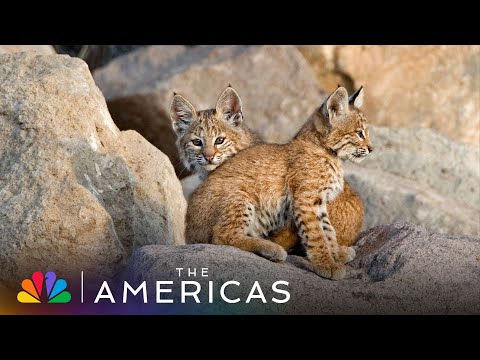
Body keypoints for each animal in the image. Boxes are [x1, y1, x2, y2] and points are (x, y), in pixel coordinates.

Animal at [184, 86, 372, 280]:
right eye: (359, 133)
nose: (371, 148)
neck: (328, 153)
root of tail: (188, 229)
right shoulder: (305, 199)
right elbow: (316, 234)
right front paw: (326, 265)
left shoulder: (320, 202)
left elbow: (328, 231)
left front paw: (336, 255)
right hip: (240, 196)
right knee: (221, 236)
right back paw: (271, 248)